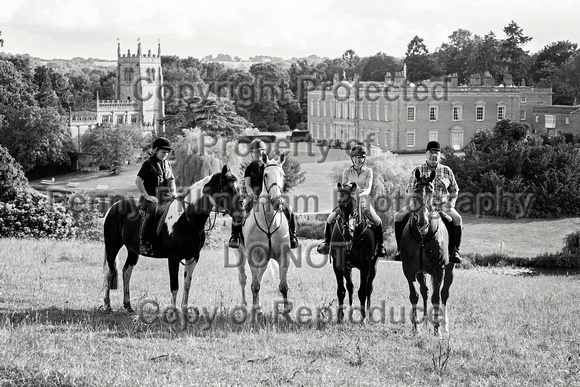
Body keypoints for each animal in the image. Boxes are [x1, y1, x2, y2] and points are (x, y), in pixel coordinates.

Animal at [103, 166, 241, 316]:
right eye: (227, 187)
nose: (241, 212)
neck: (187, 218)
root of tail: (113, 207)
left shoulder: (193, 256)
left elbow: (187, 284)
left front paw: (185, 310)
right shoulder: (173, 258)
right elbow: (174, 285)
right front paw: (172, 312)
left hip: (132, 251)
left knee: (126, 272)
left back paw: (128, 305)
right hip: (112, 247)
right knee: (109, 272)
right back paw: (107, 305)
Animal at [236, 153, 292, 320]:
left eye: (283, 175)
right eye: (265, 175)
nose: (276, 201)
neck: (268, 221)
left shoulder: (283, 256)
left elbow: (283, 286)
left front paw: (287, 315)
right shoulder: (253, 256)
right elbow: (254, 286)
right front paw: (253, 317)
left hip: (265, 260)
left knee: (259, 277)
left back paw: (259, 308)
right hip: (239, 254)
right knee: (243, 279)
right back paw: (244, 306)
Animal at [330, 183, 380, 322]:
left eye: (355, 203)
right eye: (340, 204)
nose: (347, 233)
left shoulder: (365, 266)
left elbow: (362, 291)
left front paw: (363, 318)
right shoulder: (338, 265)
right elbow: (341, 290)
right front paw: (340, 317)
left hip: (373, 266)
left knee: (369, 288)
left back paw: (368, 314)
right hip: (348, 268)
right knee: (350, 287)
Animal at [402, 170, 456, 336]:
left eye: (432, 190)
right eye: (416, 189)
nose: (422, 222)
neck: (422, 237)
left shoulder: (439, 269)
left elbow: (436, 297)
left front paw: (437, 330)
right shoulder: (408, 269)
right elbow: (414, 296)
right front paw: (416, 328)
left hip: (449, 269)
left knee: (444, 293)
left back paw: (444, 325)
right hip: (421, 272)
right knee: (424, 292)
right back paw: (425, 322)